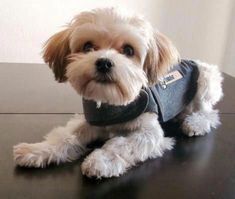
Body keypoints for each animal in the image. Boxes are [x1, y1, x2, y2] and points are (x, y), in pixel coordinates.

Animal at [13, 7, 224, 178]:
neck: (111, 103)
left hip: (206, 79)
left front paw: (100, 161)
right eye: (88, 46)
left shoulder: (149, 132)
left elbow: (121, 145)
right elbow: (65, 135)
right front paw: (38, 150)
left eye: (128, 50)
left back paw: (195, 123)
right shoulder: (91, 120)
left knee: (209, 112)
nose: (104, 62)